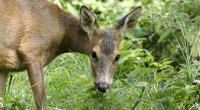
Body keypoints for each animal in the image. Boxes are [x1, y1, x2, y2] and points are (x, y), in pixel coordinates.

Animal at [0, 0, 142, 109]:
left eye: (117, 56)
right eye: (93, 54)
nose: (103, 86)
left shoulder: (4, 67)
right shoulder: (32, 50)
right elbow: (42, 103)